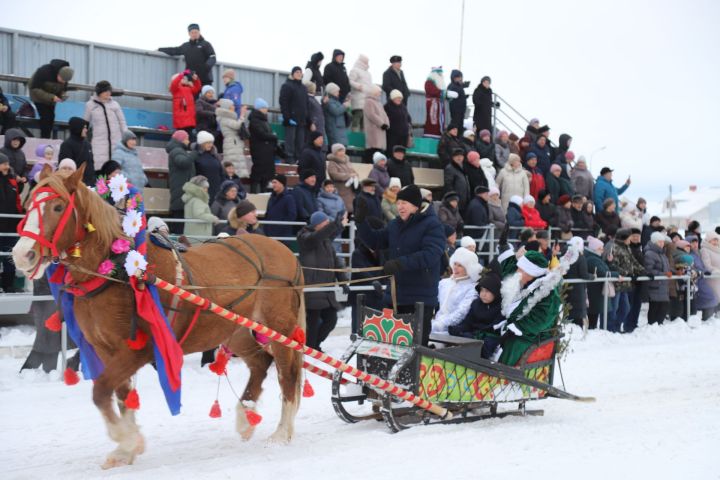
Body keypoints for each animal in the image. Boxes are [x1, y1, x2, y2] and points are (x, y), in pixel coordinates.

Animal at [11, 166, 304, 468]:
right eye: (29, 204)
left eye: (58, 207)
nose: (22, 254)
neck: (119, 270)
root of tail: (285, 251)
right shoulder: (106, 349)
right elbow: (121, 395)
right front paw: (126, 449)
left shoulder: (140, 348)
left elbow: (101, 390)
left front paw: (127, 440)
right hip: (237, 332)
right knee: (261, 363)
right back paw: (246, 418)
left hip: (278, 328)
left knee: (287, 373)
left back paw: (281, 432)